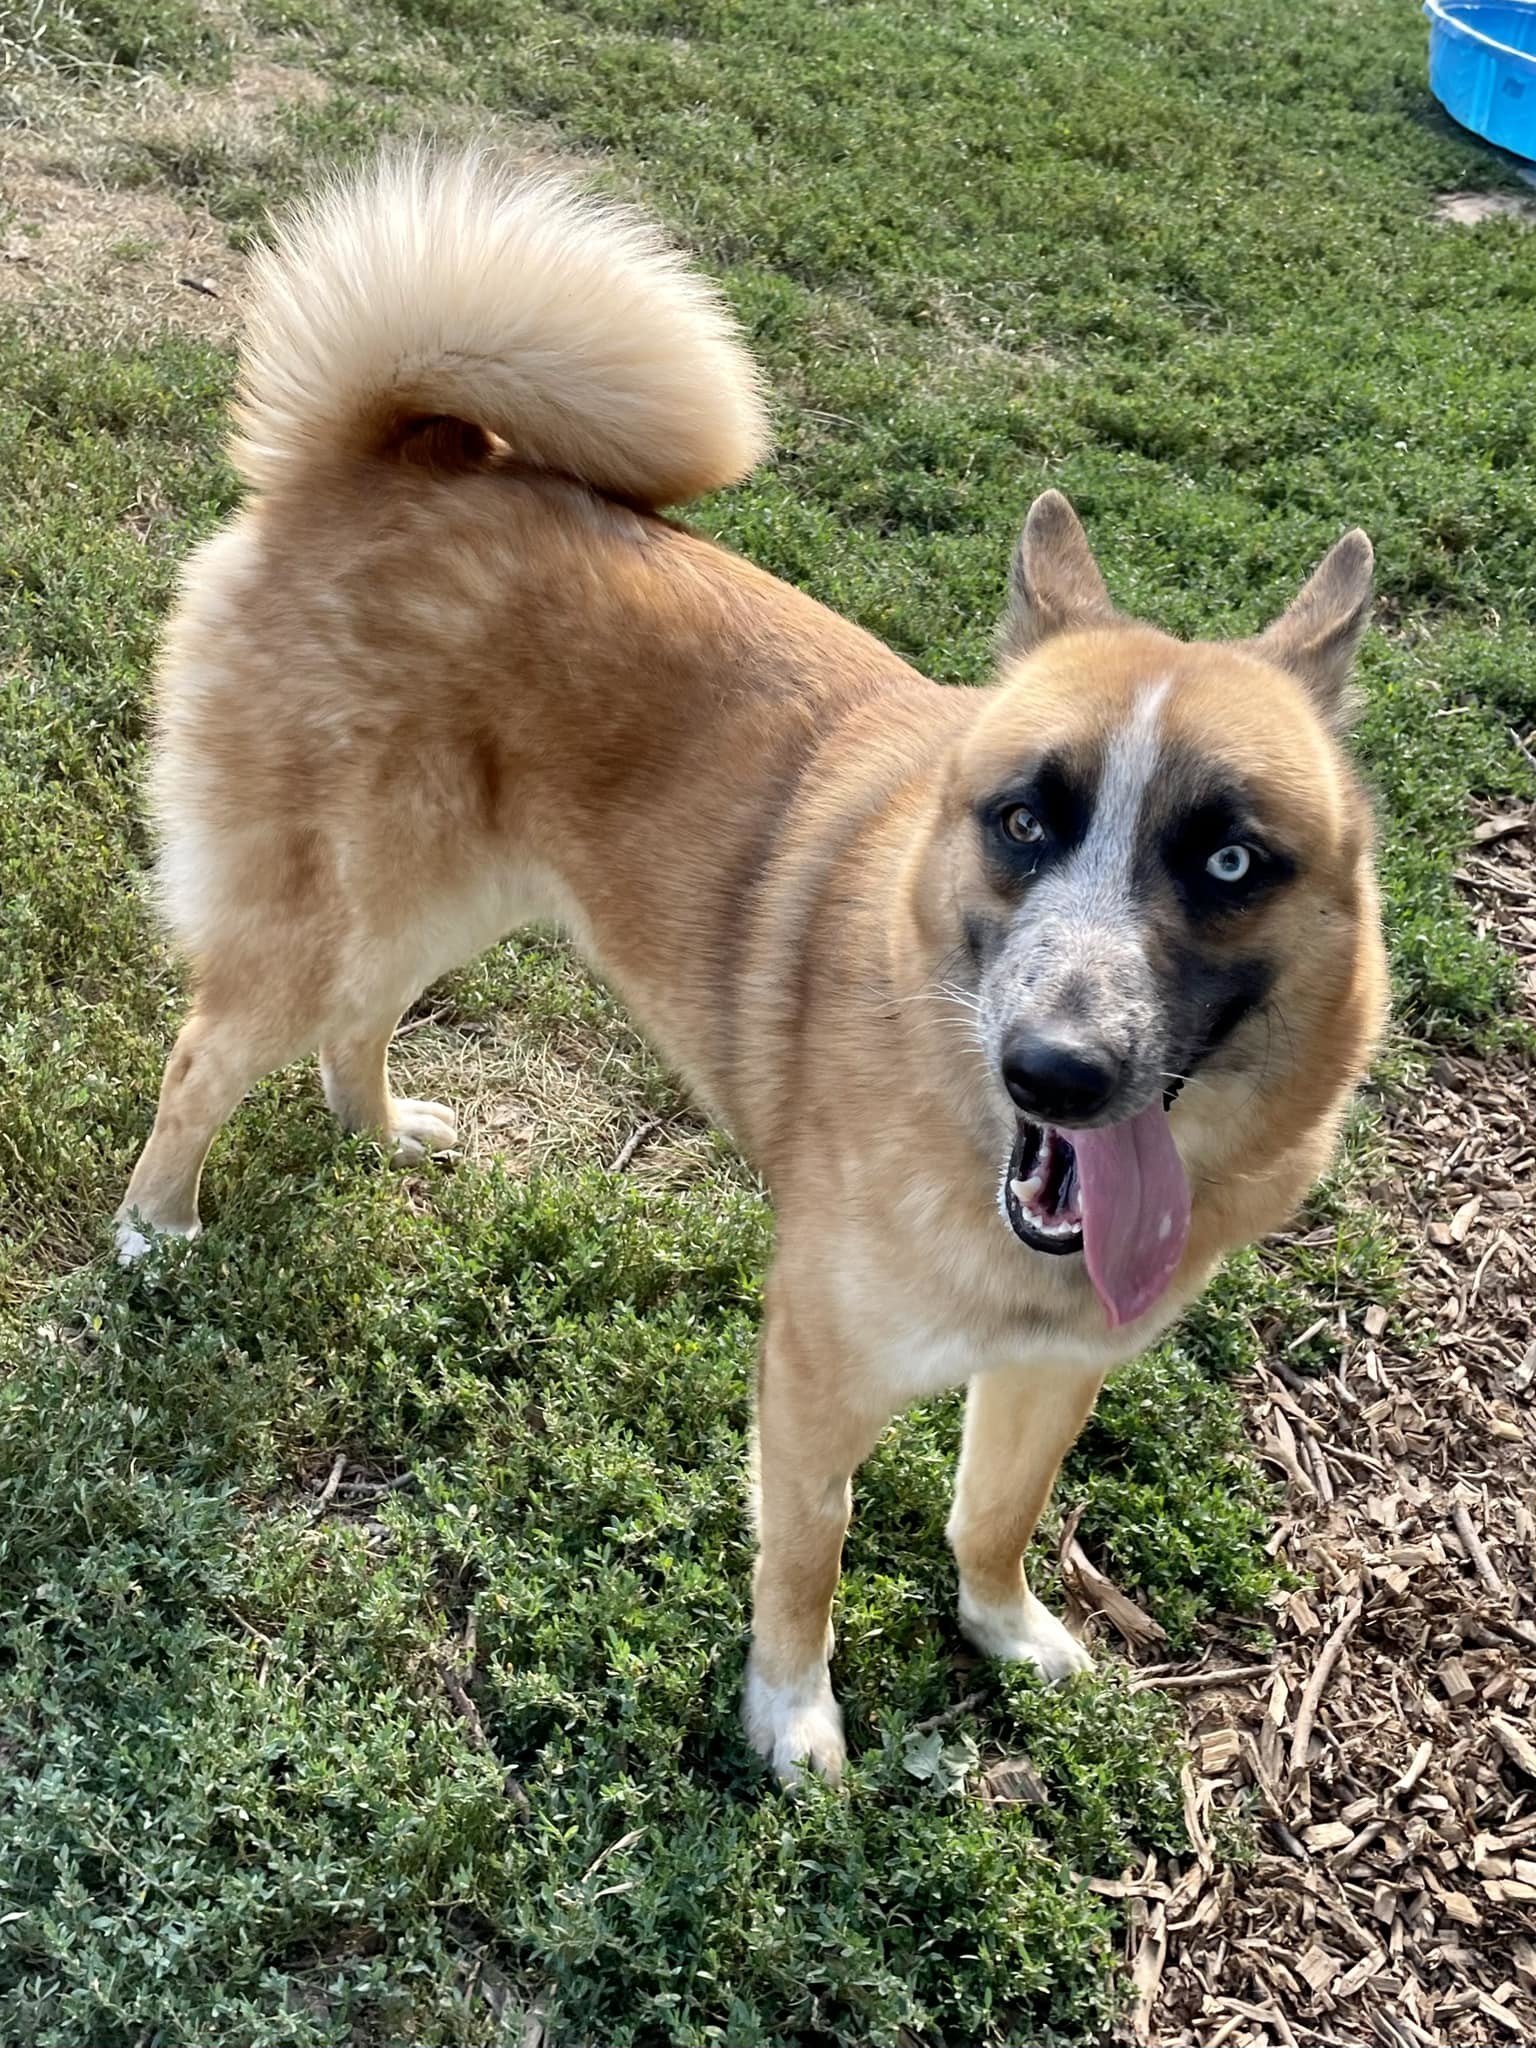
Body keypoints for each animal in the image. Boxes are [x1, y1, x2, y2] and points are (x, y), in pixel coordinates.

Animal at [117, 148, 1392, 1777]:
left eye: (1229, 862)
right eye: (1024, 820)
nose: (1057, 1070)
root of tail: (399, 451)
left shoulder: (1052, 1370)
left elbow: (997, 1516)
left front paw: (1008, 1633)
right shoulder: (815, 1372)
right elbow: (810, 1553)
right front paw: (792, 1719)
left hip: (449, 899)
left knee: (362, 1023)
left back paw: (383, 1128)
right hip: (330, 907)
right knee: (208, 1052)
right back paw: (156, 1227)